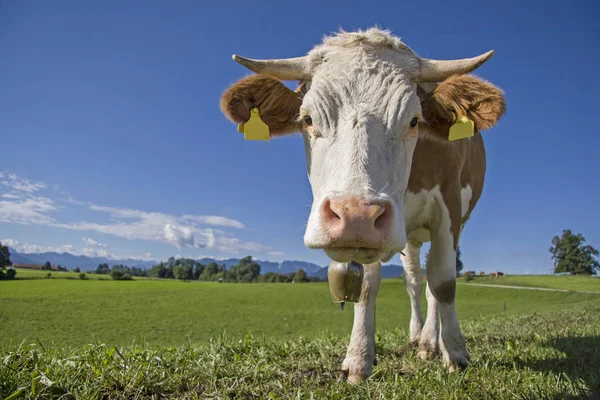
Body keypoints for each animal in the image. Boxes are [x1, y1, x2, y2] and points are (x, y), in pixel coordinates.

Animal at [218, 26, 504, 382]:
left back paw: (430, 341)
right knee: (414, 279)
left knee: (432, 281)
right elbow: (368, 286)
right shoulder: (372, 239)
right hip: (408, 235)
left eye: (414, 121)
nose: (355, 215)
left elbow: (444, 282)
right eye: (307, 119)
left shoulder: (449, 209)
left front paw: (456, 352)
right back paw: (419, 337)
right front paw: (359, 358)